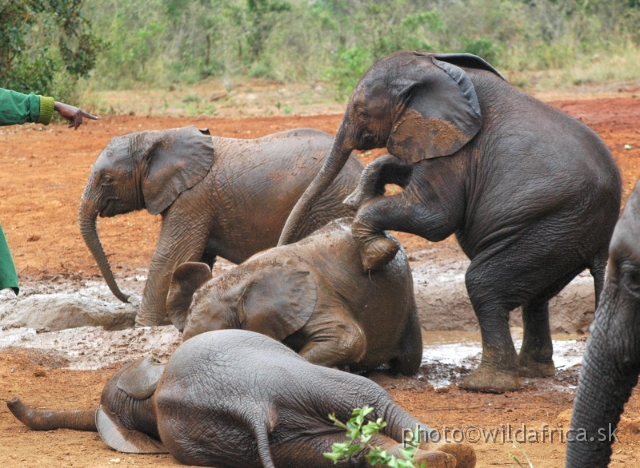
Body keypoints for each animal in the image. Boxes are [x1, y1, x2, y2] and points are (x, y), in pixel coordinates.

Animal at [79, 126, 364, 328]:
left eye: (107, 179)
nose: (128, 298)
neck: (158, 136)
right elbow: (195, 261)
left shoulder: (192, 198)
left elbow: (170, 257)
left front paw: (143, 326)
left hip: (330, 202)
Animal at [278, 51, 620, 394]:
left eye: (361, 111)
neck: (437, 67)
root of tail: (604, 241)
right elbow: (399, 169)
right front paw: (359, 197)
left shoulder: (457, 151)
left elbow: (434, 218)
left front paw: (376, 253)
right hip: (560, 235)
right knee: (536, 298)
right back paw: (532, 372)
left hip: (549, 226)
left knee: (484, 284)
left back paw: (484, 385)